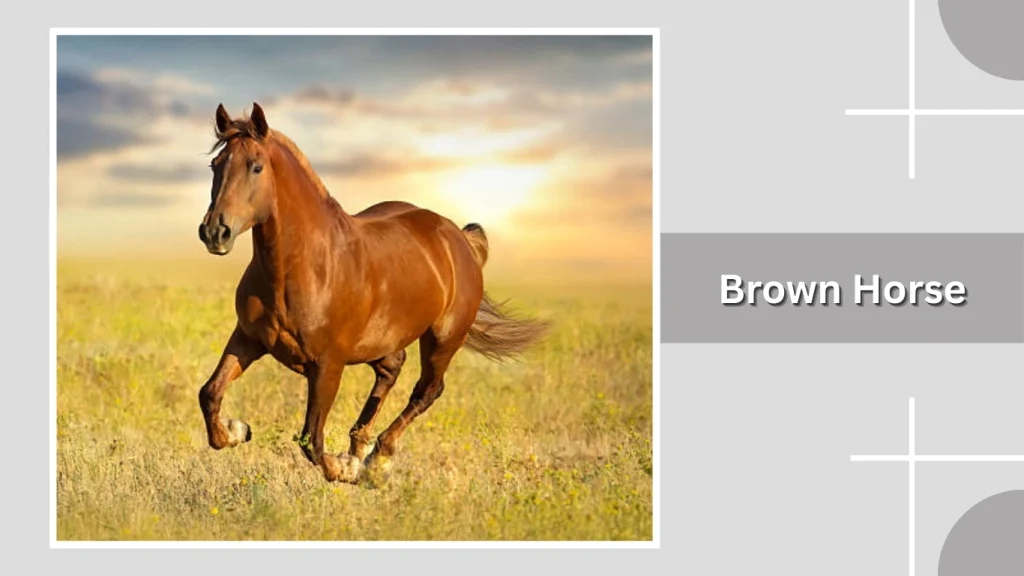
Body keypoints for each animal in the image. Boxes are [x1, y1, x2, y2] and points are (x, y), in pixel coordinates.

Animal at [196, 102, 550, 485]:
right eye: (215, 165)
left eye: (256, 166)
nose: (215, 231)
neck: (304, 267)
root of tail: (458, 238)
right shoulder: (248, 338)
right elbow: (210, 394)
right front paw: (237, 430)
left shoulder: (328, 364)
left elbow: (311, 439)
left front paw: (345, 468)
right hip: (381, 341)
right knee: (392, 369)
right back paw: (361, 445)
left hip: (442, 339)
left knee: (427, 391)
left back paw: (377, 459)